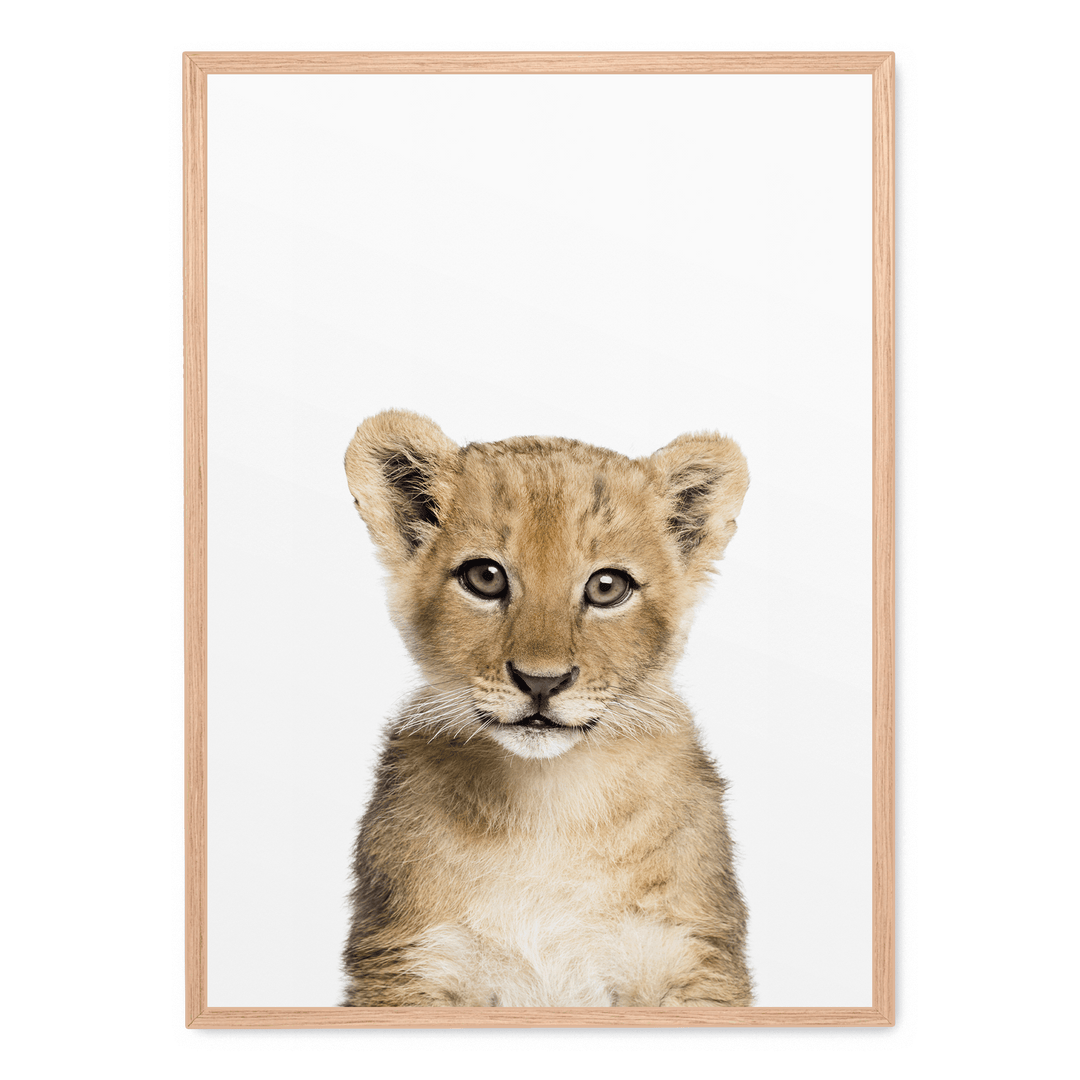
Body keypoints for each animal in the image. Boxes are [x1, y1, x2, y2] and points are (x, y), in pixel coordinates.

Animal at [341, 410, 752, 1007]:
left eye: (607, 587)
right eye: (485, 577)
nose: (542, 681)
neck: (548, 805)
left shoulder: (690, 957)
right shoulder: (409, 962)